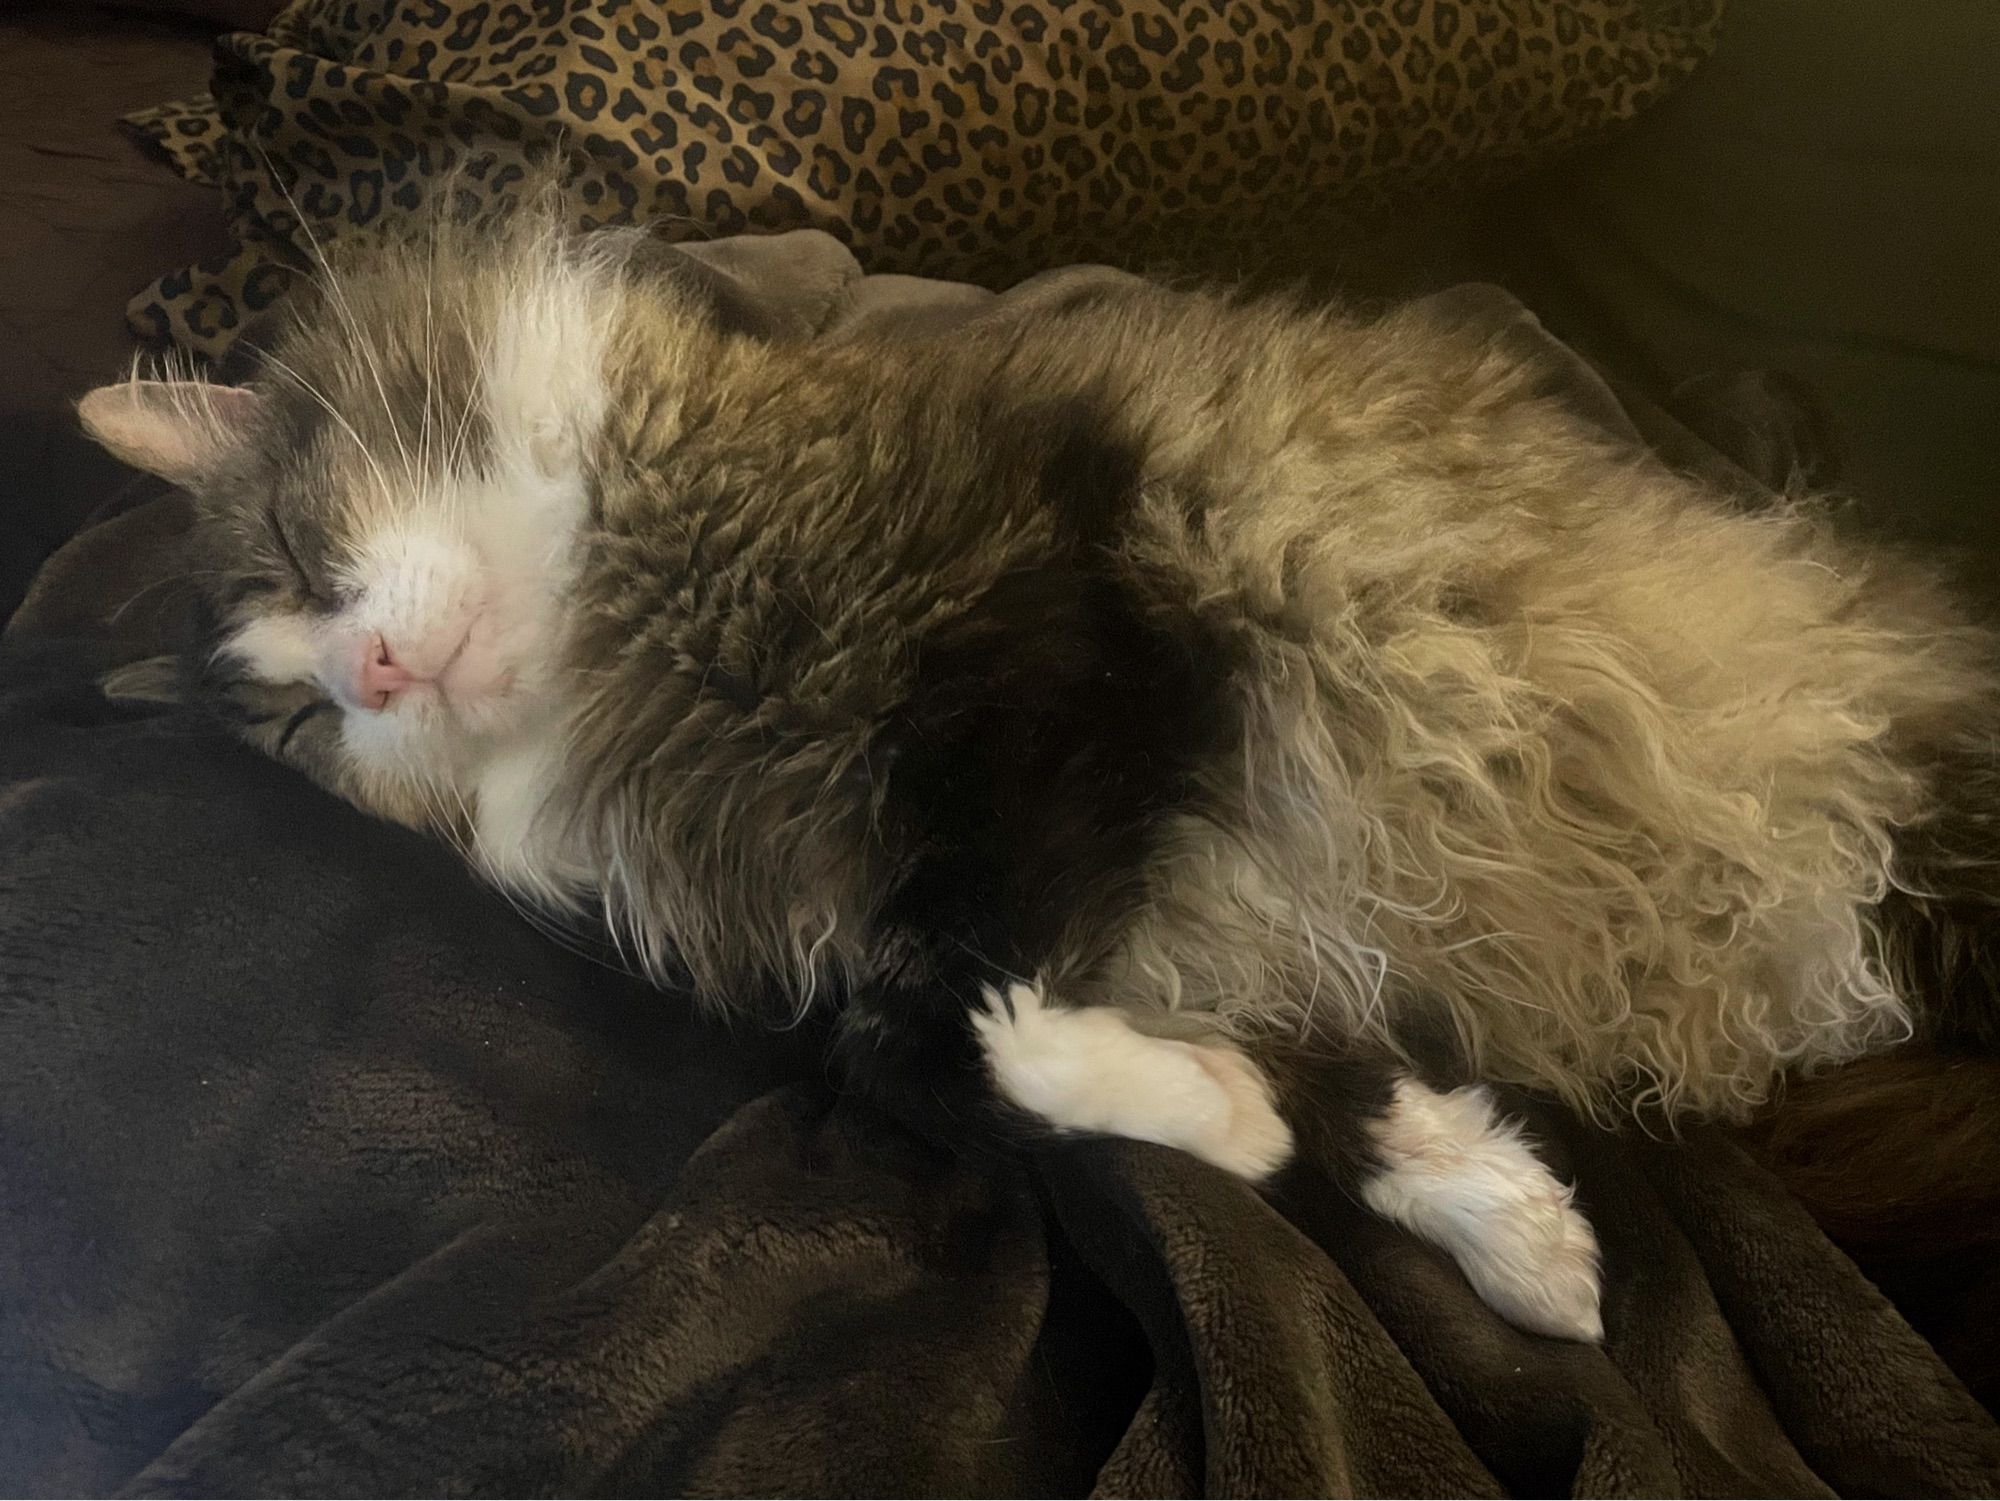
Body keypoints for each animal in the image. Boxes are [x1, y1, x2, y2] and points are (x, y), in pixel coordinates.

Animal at [74, 197, 2000, 1336]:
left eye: (301, 564)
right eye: (311, 731)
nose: (375, 672)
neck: (638, 655)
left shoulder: (1077, 664)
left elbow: (955, 997)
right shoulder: (1170, 917)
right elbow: (989, 1048)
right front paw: (1482, 1215)